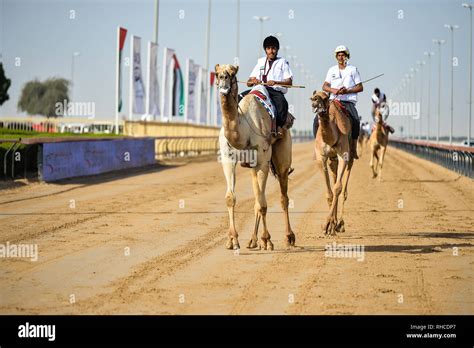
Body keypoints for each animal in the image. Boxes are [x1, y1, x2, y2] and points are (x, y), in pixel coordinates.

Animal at [216, 64, 296, 250]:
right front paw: (232, 240)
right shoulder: (228, 159)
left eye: (232, 73)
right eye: (217, 73)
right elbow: (231, 198)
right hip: (253, 167)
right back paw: (252, 240)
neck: (243, 131)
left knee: (283, 196)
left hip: (281, 154)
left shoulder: (263, 161)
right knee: (258, 199)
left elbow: (263, 204)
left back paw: (288, 237)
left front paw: (267, 240)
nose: (223, 79)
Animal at [310, 90, 354, 237]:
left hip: (351, 153)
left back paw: (340, 224)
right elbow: (329, 192)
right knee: (334, 175)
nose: (315, 100)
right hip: (332, 159)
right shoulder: (321, 158)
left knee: (344, 189)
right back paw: (334, 225)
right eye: (313, 97)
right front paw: (329, 225)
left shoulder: (343, 155)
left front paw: (328, 225)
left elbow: (337, 188)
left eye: (325, 98)